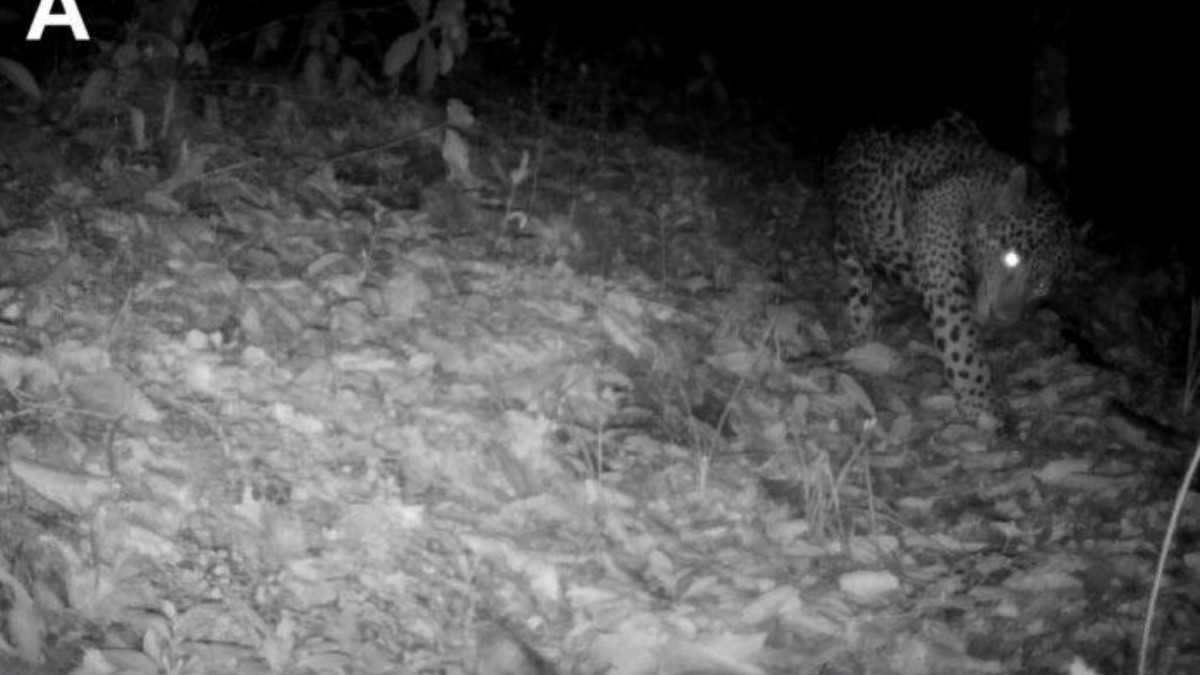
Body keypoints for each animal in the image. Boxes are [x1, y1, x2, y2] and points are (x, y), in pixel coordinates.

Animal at [829, 114, 1073, 426]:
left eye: (1041, 286)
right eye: (1011, 258)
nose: (1005, 320)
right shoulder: (945, 280)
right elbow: (961, 340)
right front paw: (982, 403)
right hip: (846, 241)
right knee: (856, 281)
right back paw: (861, 328)